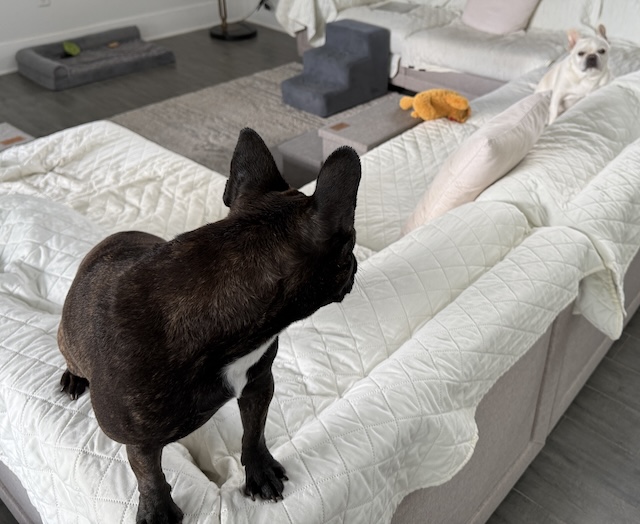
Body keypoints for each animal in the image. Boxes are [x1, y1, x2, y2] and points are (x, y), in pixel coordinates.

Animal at [57, 128, 361, 524]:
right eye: (349, 245)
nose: (356, 263)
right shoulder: (139, 439)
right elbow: (148, 473)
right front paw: (158, 509)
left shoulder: (258, 382)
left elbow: (254, 431)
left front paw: (259, 470)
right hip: (68, 341)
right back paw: (72, 379)